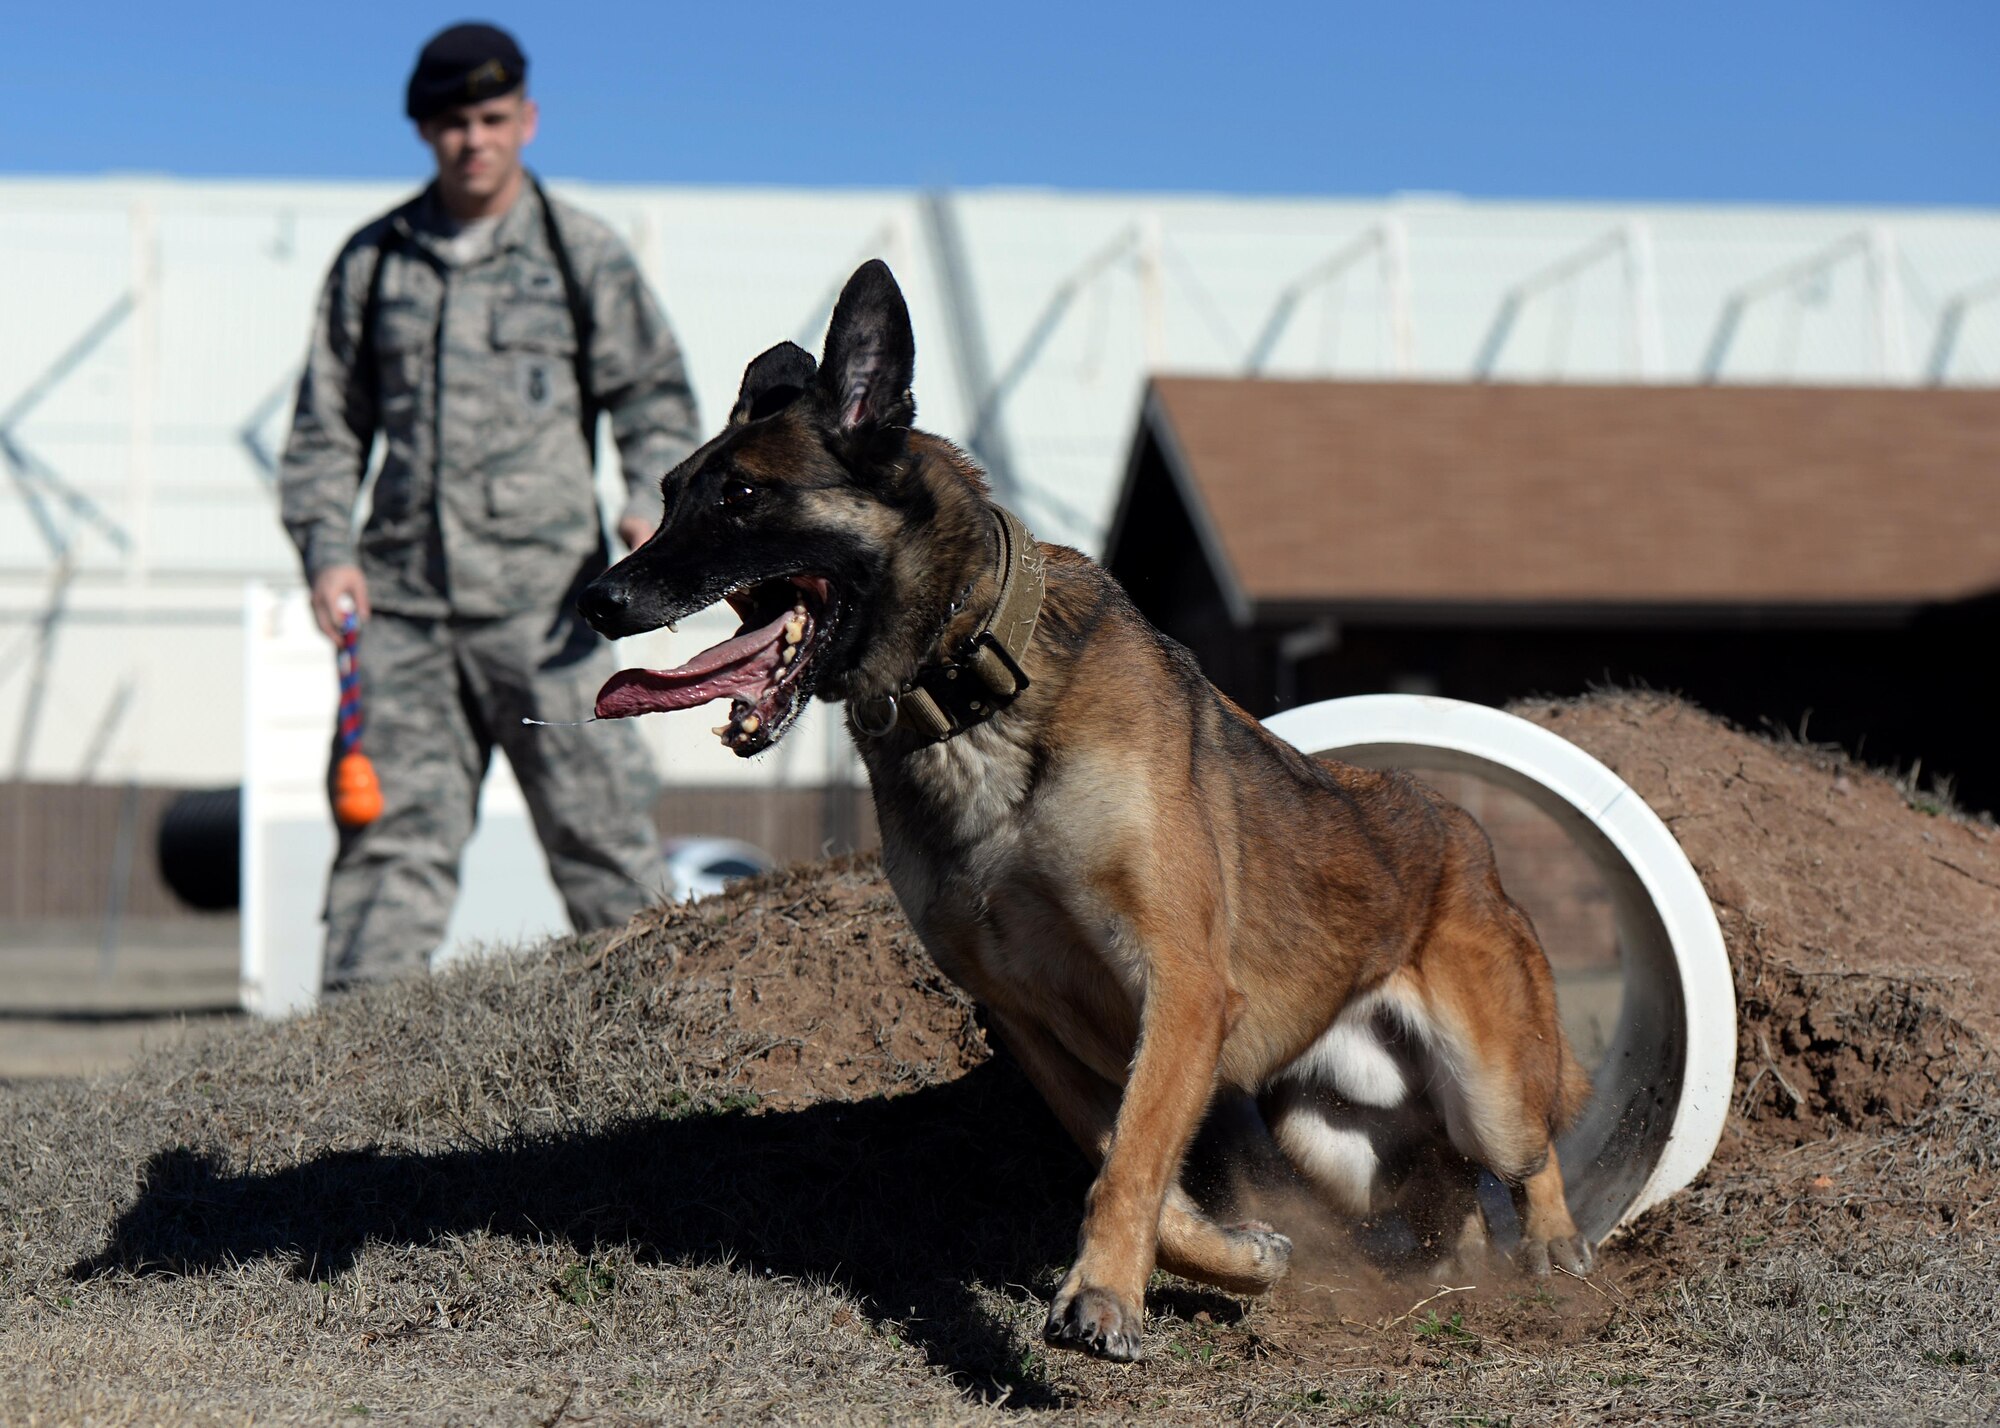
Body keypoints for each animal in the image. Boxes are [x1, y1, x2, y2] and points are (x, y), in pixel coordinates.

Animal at [580, 258, 1592, 1360]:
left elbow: (1136, 1157)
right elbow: (1138, 1172)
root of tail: (1462, 834)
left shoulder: (1180, 987)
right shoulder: (1029, 1022)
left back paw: (1553, 1245)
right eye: (670, 495)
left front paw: (1102, 1291)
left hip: (1487, 1087)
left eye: (742, 495)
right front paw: (1233, 1260)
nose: (597, 600)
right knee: (1439, 1184)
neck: (972, 700)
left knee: (1526, 1151)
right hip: (1329, 1137)